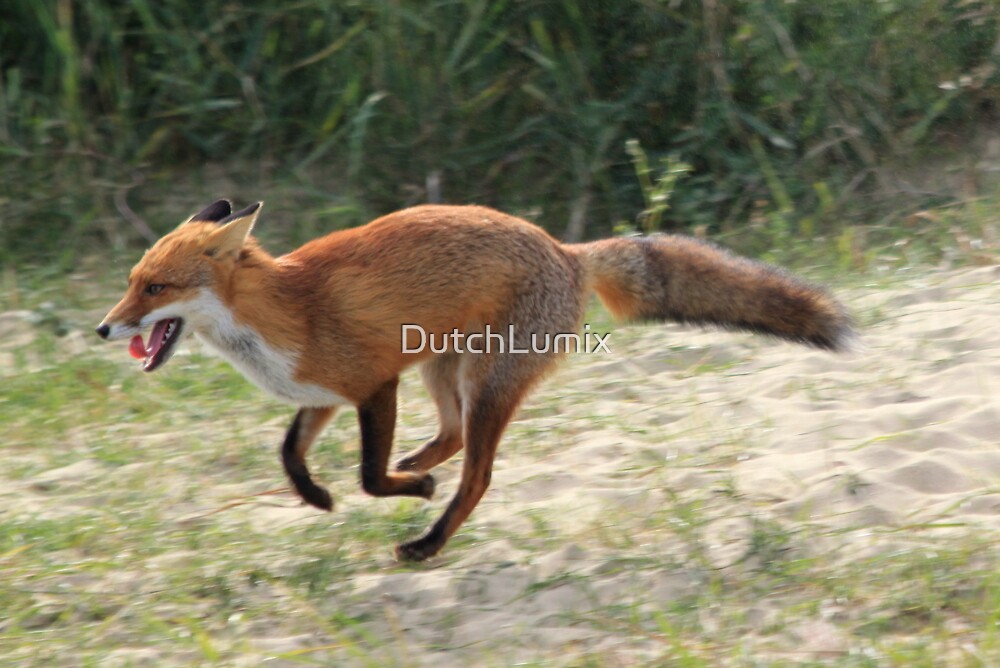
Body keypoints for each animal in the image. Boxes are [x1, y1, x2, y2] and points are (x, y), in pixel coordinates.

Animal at [96, 199, 853, 561]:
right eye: (131, 281)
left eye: (156, 287)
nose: (104, 329)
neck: (281, 315)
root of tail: (566, 250)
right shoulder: (324, 396)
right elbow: (288, 455)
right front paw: (316, 497)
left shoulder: (374, 385)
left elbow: (368, 476)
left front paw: (403, 493)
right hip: (445, 369)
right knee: (453, 434)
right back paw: (419, 468)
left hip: (484, 382)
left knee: (477, 474)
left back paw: (427, 539)